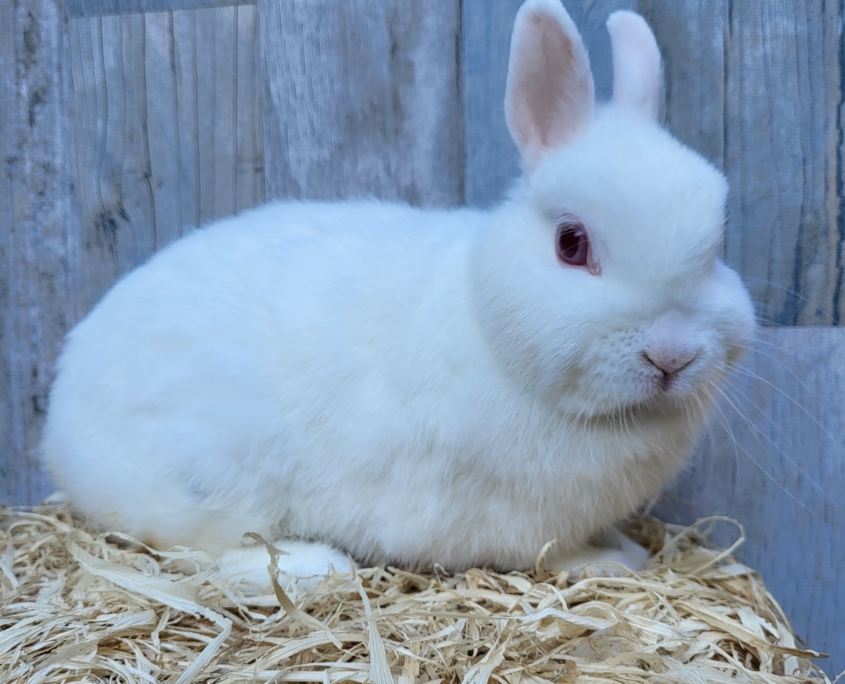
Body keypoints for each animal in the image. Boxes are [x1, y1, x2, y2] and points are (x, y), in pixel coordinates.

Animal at [39, 0, 756, 588]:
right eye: (571, 244)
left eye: (718, 243)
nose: (670, 356)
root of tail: (62, 420)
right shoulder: (505, 519)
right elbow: (551, 553)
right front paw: (610, 561)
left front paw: (623, 547)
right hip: (211, 481)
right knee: (202, 546)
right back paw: (312, 565)